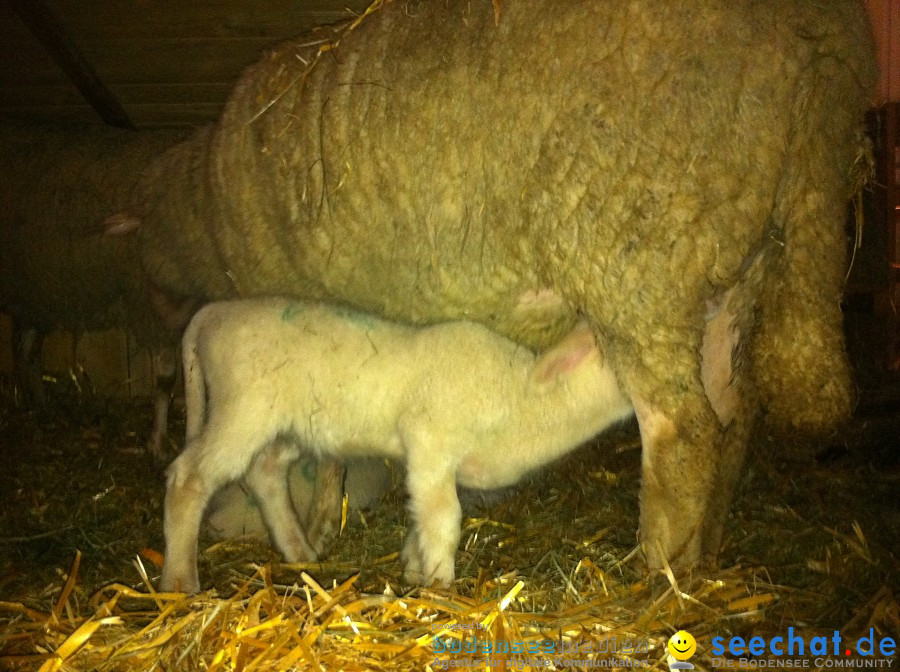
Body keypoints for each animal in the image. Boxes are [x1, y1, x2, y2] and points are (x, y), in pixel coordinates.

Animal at [160, 296, 632, 592]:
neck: (520, 394)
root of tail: (210, 313)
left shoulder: (438, 464)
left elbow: (423, 518)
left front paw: (415, 571)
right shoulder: (429, 440)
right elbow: (445, 519)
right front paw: (441, 584)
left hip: (289, 424)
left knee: (266, 472)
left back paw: (301, 554)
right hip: (243, 407)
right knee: (189, 477)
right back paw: (180, 584)